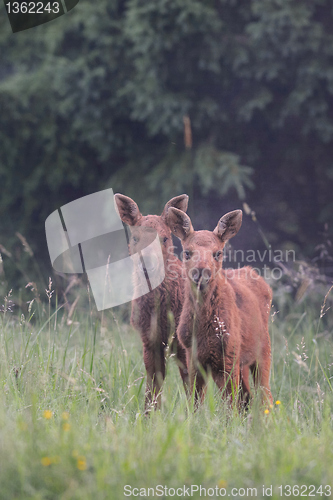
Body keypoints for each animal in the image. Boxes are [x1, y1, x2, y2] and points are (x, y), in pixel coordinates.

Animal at [114, 193, 188, 412]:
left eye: (164, 238)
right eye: (135, 238)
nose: (147, 264)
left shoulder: (183, 342)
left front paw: (197, 414)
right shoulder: (149, 340)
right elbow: (152, 387)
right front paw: (149, 415)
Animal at [167, 207, 272, 406]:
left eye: (218, 253)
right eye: (187, 252)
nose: (201, 273)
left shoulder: (229, 357)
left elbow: (231, 406)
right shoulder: (193, 358)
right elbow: (194, 404)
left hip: (263, 349)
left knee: (265, 397)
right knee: (248, 398)